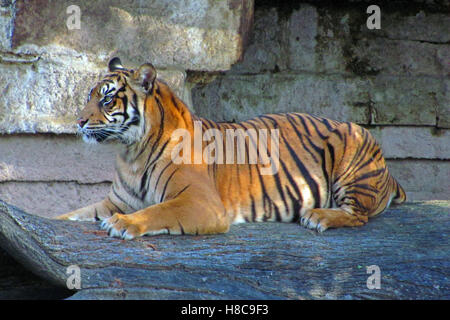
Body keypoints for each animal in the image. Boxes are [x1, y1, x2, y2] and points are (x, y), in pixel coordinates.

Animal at [54, 57, 406, 240]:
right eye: (89, 95)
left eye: (107, 99)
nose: (78, 122)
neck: (131, 152)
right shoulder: (115, 202)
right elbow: (72, 214)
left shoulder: (199, 201)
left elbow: (158, 211)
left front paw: (123, 224)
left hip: (353, 148)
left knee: (359, 215)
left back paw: (317, 216)